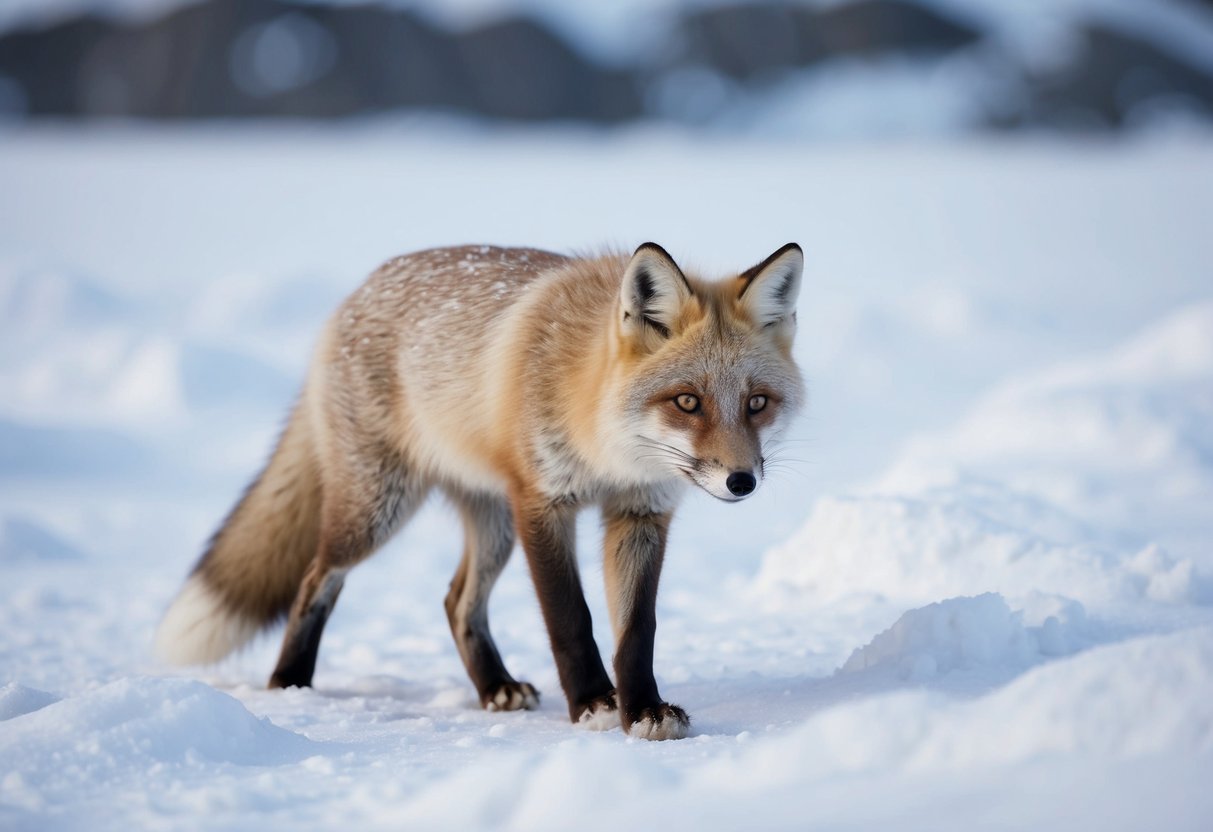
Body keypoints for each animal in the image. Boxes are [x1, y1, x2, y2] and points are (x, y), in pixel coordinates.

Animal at [155, 241, 804, 740]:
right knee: (317, 580)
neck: (606, 447)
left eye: (756, 404)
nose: (741, 481)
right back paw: (289, 684)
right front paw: (594, 705)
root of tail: (356, 293)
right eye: (687, 402)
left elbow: (636, 631)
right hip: (377, 511)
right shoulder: (543, 503)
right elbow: (571, 619)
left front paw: (642, 710)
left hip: (491, 526)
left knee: (456, 600)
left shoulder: (640, 514)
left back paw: (495, 687)